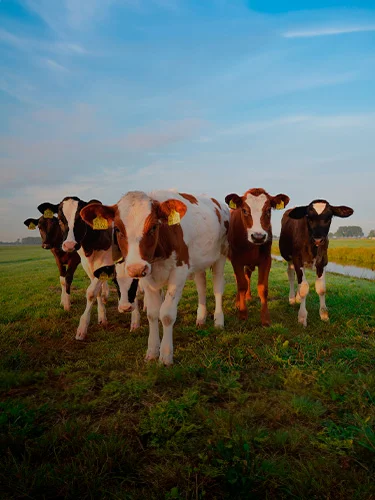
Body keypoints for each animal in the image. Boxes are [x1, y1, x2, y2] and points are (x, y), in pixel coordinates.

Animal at [54, 196, 140, 340]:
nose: (69, 245)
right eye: (60, 219)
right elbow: (97, 290)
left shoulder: (105, 262)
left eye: (80, 219)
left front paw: (82, 328)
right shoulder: (87, 264)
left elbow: (91, 292)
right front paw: (102, 317)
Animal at [81, 189, 231, 366]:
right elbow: (152, 313)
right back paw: (201, 318)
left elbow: (166, 314)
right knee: (201, 286)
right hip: (199, 262)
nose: (136, 268)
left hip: (221, 255)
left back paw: (219, 321)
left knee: (217, 288)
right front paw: (152, 352)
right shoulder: (147, 276)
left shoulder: (179, 272)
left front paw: (166, 355)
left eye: (153, 226)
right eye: (117, 229)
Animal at [226, 188, 290, 324]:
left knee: (248, 276)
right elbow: (241, 285)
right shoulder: (236, 260)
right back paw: (238, 301)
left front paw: (265, 319)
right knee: (239, 280)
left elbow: (263, 288)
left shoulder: (266, 260)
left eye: (268, 210)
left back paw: (248, 296)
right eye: (244, 210)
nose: (258, 236)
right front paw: (243, 314)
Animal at [280, 199, 356, 328]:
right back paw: (292, 298)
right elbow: (304, 287)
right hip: (289, 259)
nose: (318, 239)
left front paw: (324, 314)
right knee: (291, 275)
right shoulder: (297, 260)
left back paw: (298, 298)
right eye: (308, 217)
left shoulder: (323, 261)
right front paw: (302, 317)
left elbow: (321, 288)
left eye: (329, 217)